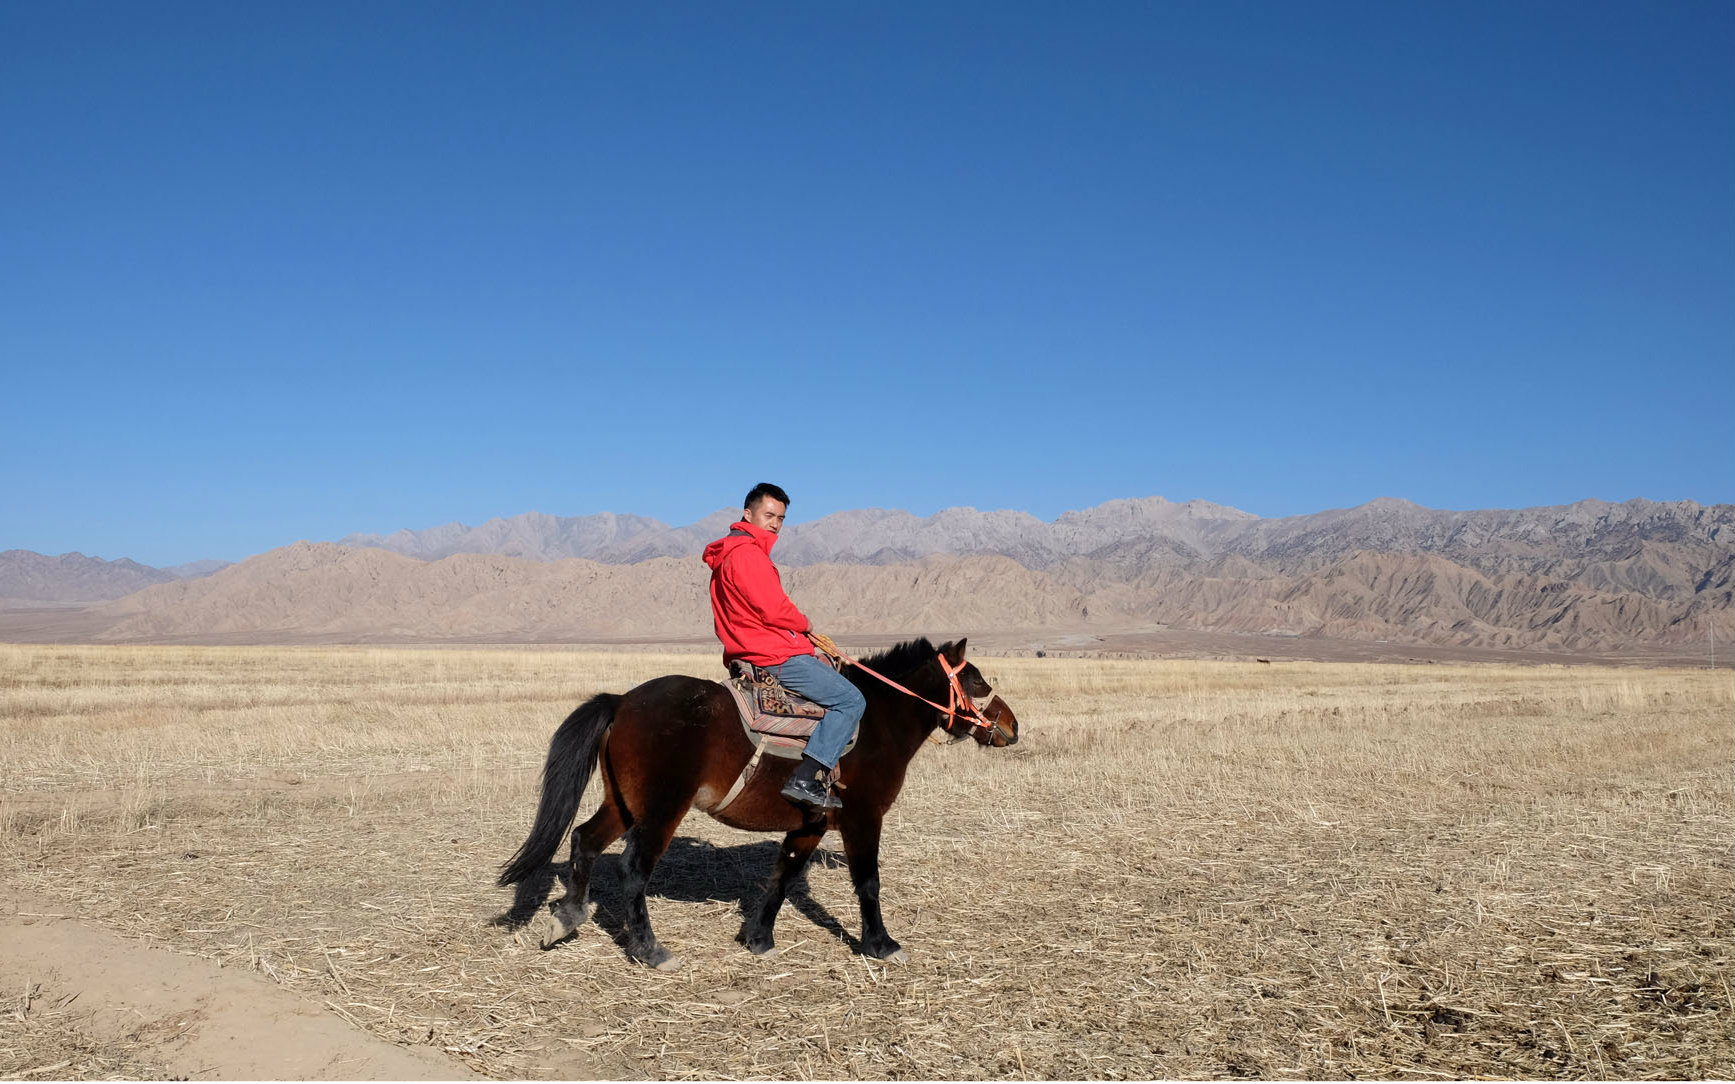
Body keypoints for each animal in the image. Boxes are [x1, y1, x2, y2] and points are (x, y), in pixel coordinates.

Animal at [499, 634, 1013, 964]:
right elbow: (868, 882)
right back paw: (649, 950)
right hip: (662, 808)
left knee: (584, 840)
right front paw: (881, 944)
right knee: (634, 868)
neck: (877, 722)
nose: (1012, 727)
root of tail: (623, 701)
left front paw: (759, 938)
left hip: (625, 804)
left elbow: (783, 875)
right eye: (977, 682)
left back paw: (567, 918)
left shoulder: (810, 824)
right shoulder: (864, 818)